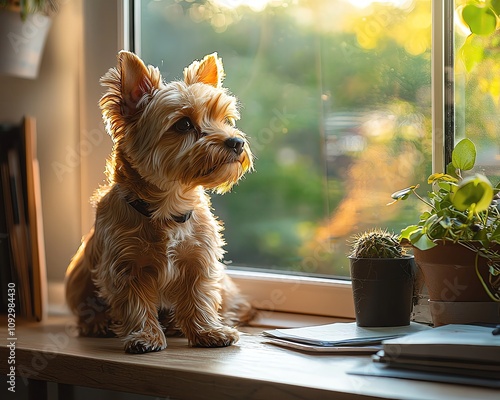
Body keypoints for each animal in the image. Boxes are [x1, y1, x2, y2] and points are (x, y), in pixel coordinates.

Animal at [64, 50, 254, 354]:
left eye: (224, 119)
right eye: (184, 124)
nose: (236, 142)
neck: (168, 206)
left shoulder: (199, 259)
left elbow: (200, 296)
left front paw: (208, 331)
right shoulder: (124, 266)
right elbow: (135, 304)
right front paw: (146, 336)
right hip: (79, 277)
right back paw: (98, 323)